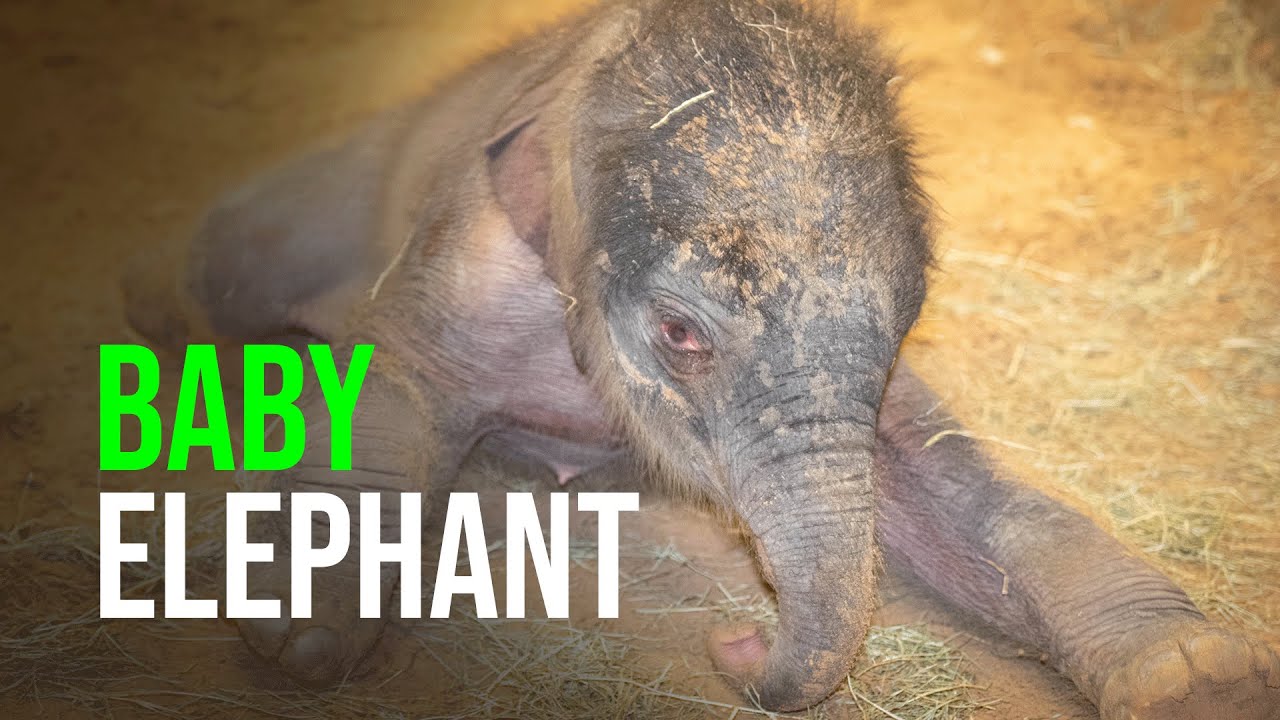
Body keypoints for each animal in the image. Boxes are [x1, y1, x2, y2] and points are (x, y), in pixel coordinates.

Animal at [123, 0, 1280, 716]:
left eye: (912, 317)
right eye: (682, 334)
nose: (735, 646)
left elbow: (945, 476)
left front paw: (1196, 682)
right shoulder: (457, 261)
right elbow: (393, 385)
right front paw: (302, 642)